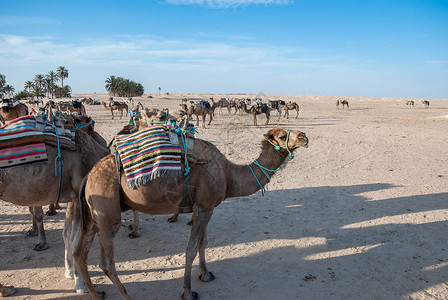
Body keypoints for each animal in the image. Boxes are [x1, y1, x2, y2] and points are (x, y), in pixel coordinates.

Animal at [0, 126, 109, 292]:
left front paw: (69, 272)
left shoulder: (71, 197)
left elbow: (67, 234)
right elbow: (75, 240)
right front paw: (80, 284)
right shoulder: (80, 196)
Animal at [72, 127, 308, 300]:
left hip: (92, 216)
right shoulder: (204, 207)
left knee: (79, 254)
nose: (304, 137)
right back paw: (127, 297)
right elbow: (191, 248)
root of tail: (88, 176)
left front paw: (206, 274)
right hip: (107, 212)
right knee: (106, 263)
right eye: (282, 135)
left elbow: (204, 243)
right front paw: (188, 291)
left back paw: (96, 293)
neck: (229, 175)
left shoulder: (206, 206)